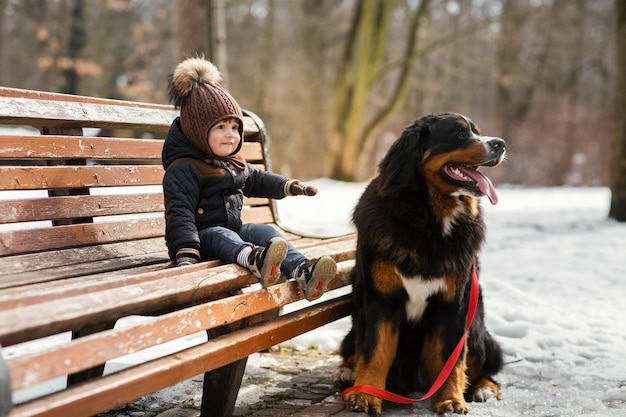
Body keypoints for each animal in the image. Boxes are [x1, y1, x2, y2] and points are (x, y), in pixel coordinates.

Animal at [334, 112, 504, 414]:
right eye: (460, 134)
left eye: (477, 131)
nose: (500, 144)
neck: (428, 221)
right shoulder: (380, 299)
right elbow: (374, 350)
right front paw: (365, 394)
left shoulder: (454, 303)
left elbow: (451, 359)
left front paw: (451, 399)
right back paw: (347, 372)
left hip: (476, 324)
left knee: (484, 366)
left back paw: (483, 388)